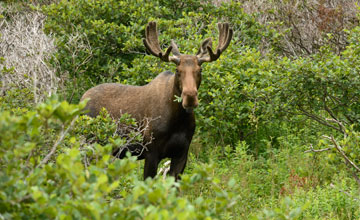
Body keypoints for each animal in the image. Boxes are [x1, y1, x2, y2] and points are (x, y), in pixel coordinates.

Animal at [81, 20, 233, 180]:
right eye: (178, 70)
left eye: (200, 70)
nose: (190, 97)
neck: (178, 120)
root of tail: (81, 99)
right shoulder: (151, 152)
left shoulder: (182, 153)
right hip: (89, 142)